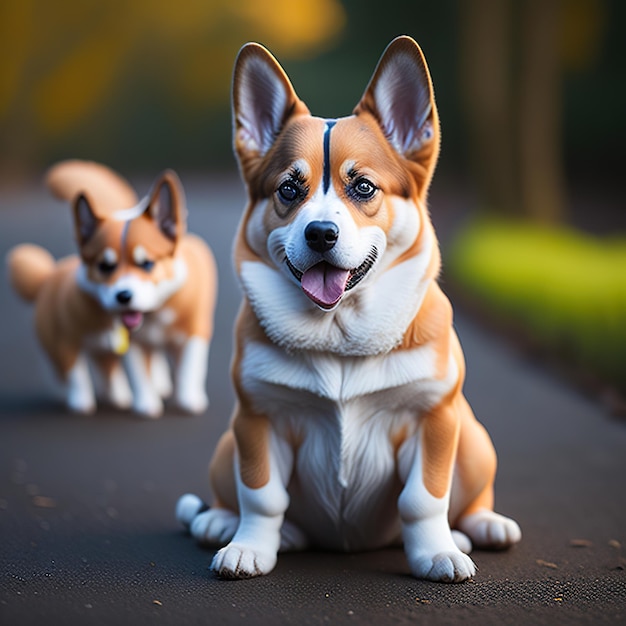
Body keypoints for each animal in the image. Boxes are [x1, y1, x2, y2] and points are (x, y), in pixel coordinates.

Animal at [6, 160, 217, 414]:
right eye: (105, 266)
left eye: (147, 263)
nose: (123, 296)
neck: (153, 315)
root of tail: (46, 278)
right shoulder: (132, 345)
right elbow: (139, 374)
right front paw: (146, 405)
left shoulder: (195, 332)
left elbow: (189, 367)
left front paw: (188, 401)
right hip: (59, 343)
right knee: (70, 369)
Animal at [174, 35, 516, 580]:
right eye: (288, 189)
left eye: (363, 187)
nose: (321, 233)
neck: (338, 331)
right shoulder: (257, 419)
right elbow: (261, 496)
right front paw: (249, 548)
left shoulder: (434, 418)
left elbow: (424, 499)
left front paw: (437, 554)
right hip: (225, 446)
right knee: (237, 499)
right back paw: (228, 523)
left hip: (475, 441)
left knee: (469, 498)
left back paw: (479, 527)